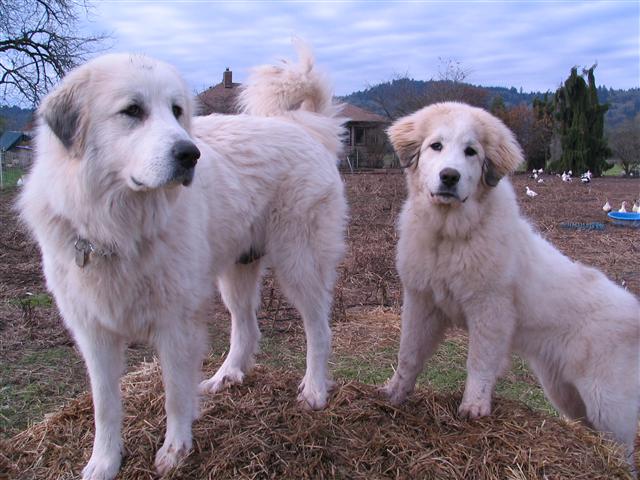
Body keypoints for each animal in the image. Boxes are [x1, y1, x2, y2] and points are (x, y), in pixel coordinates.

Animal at [20, 43, 348, 478]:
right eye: (132, 111)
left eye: (177, 111)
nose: (190, 154)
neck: (118, 228)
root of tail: (306, 128)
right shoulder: (94, 332)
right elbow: (104, 406)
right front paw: (103, 462)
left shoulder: (176, 324)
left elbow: (175, 393)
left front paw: (175, 450)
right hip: (236, 273)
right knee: (246, 328)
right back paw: (227, 377)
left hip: (300, 265)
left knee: (319, 331)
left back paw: (314, 390)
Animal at [382, 104, 636, 468]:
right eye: (436, 146)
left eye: (471, 152)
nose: (449, 176)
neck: (450, 235)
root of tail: (633, 309)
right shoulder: (422, 302)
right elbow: (409, 355)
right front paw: (393, 394)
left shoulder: (490, 309)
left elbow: (479, 362)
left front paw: (474, 407)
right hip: (566, 393)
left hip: (607, 403)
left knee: (624, 449)